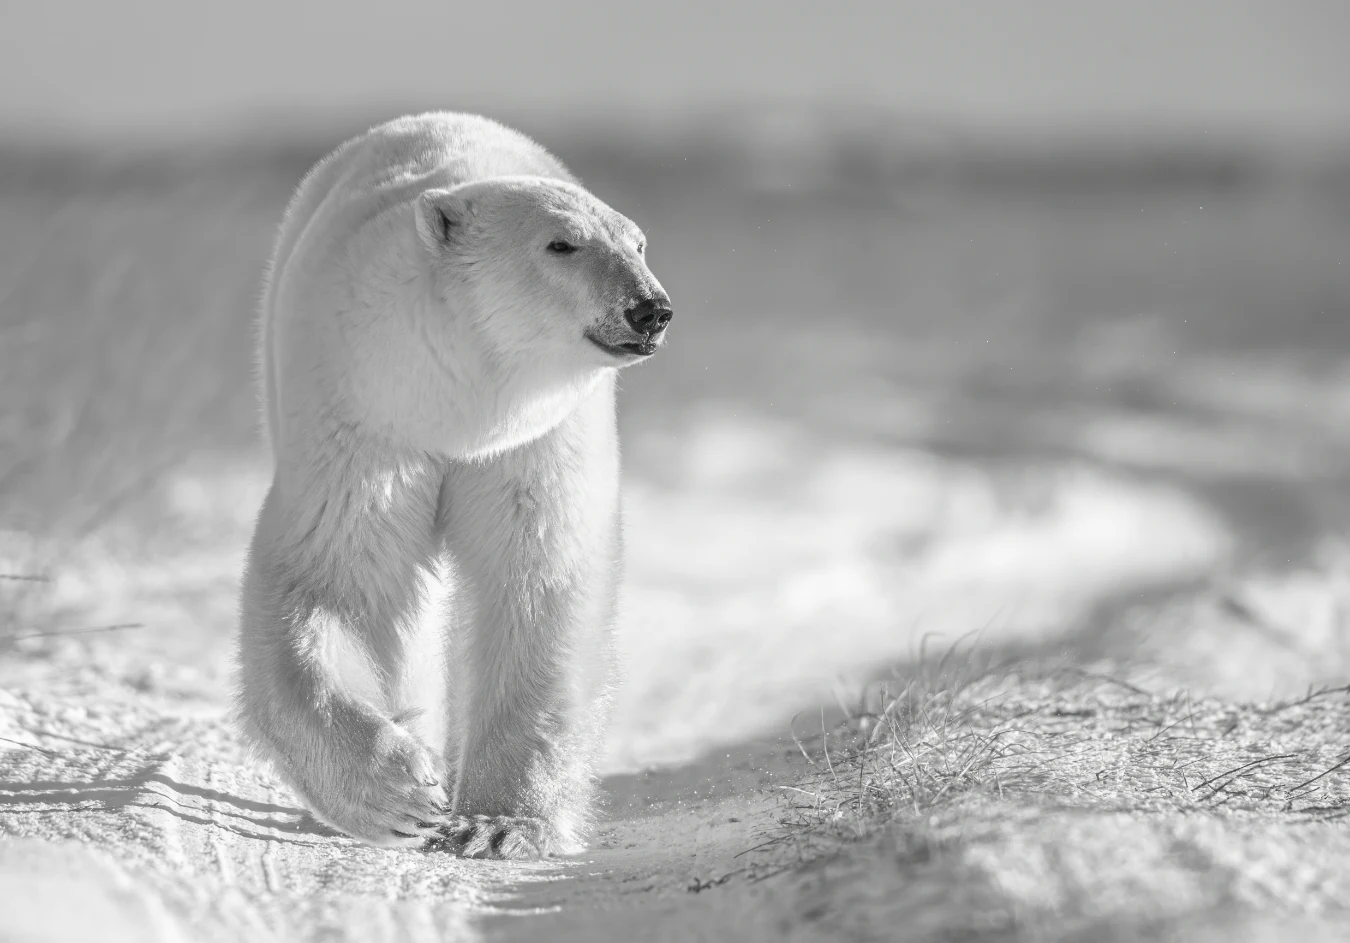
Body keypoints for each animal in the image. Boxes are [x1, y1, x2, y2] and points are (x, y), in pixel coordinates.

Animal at [234, 112, 672, 859]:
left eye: (637, 243)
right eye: (563, 243)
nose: (650, 308)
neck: (461, 404)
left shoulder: (535, 439)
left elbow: (536, 580)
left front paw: (499, 823)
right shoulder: (366, 414)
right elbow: (337, 579)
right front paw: (398, 790)